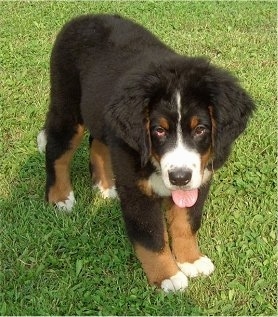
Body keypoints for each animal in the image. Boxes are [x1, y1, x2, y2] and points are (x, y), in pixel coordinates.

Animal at [38, 14, 255, 292]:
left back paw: (105, 186)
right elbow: (151, 237)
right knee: (58, 149)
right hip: (68, 104)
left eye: (201, 129)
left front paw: (190, 260)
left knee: (98, 143)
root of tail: (83, 17)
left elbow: (186, 222)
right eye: (159, 131)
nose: (180, 178)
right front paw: (168, 276)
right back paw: (60, 197)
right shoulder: (137, 189)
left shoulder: (201, 178)